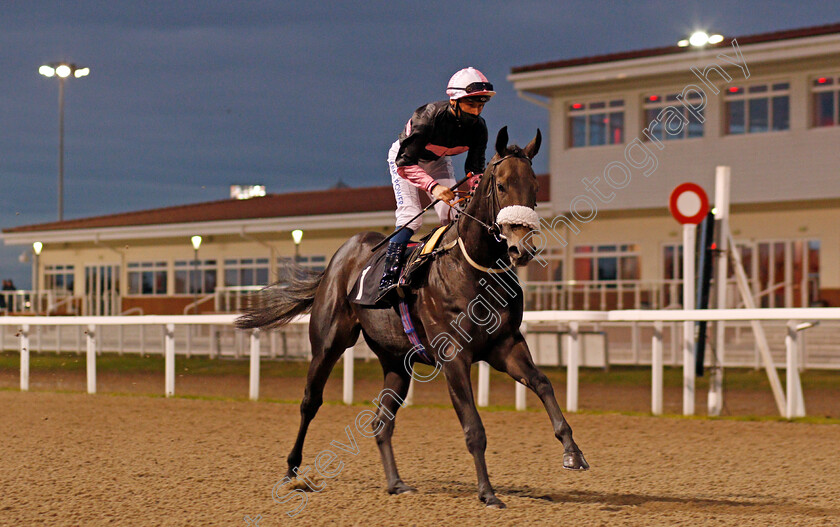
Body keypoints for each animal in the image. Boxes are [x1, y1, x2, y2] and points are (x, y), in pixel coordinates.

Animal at [236, 127, 592, 508]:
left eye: (535, 187)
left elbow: (542, 383)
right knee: (310, 402)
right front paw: (487, 492)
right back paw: (291, 472)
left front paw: (573, 452)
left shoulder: (505, 345)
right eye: (501, 185)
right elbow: (474, 427)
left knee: (381, 421)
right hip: (328, 343)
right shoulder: (453, 356)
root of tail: (339, 258)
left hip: (396, 361)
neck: (473, 267)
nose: (520, 248)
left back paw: (395, 482)